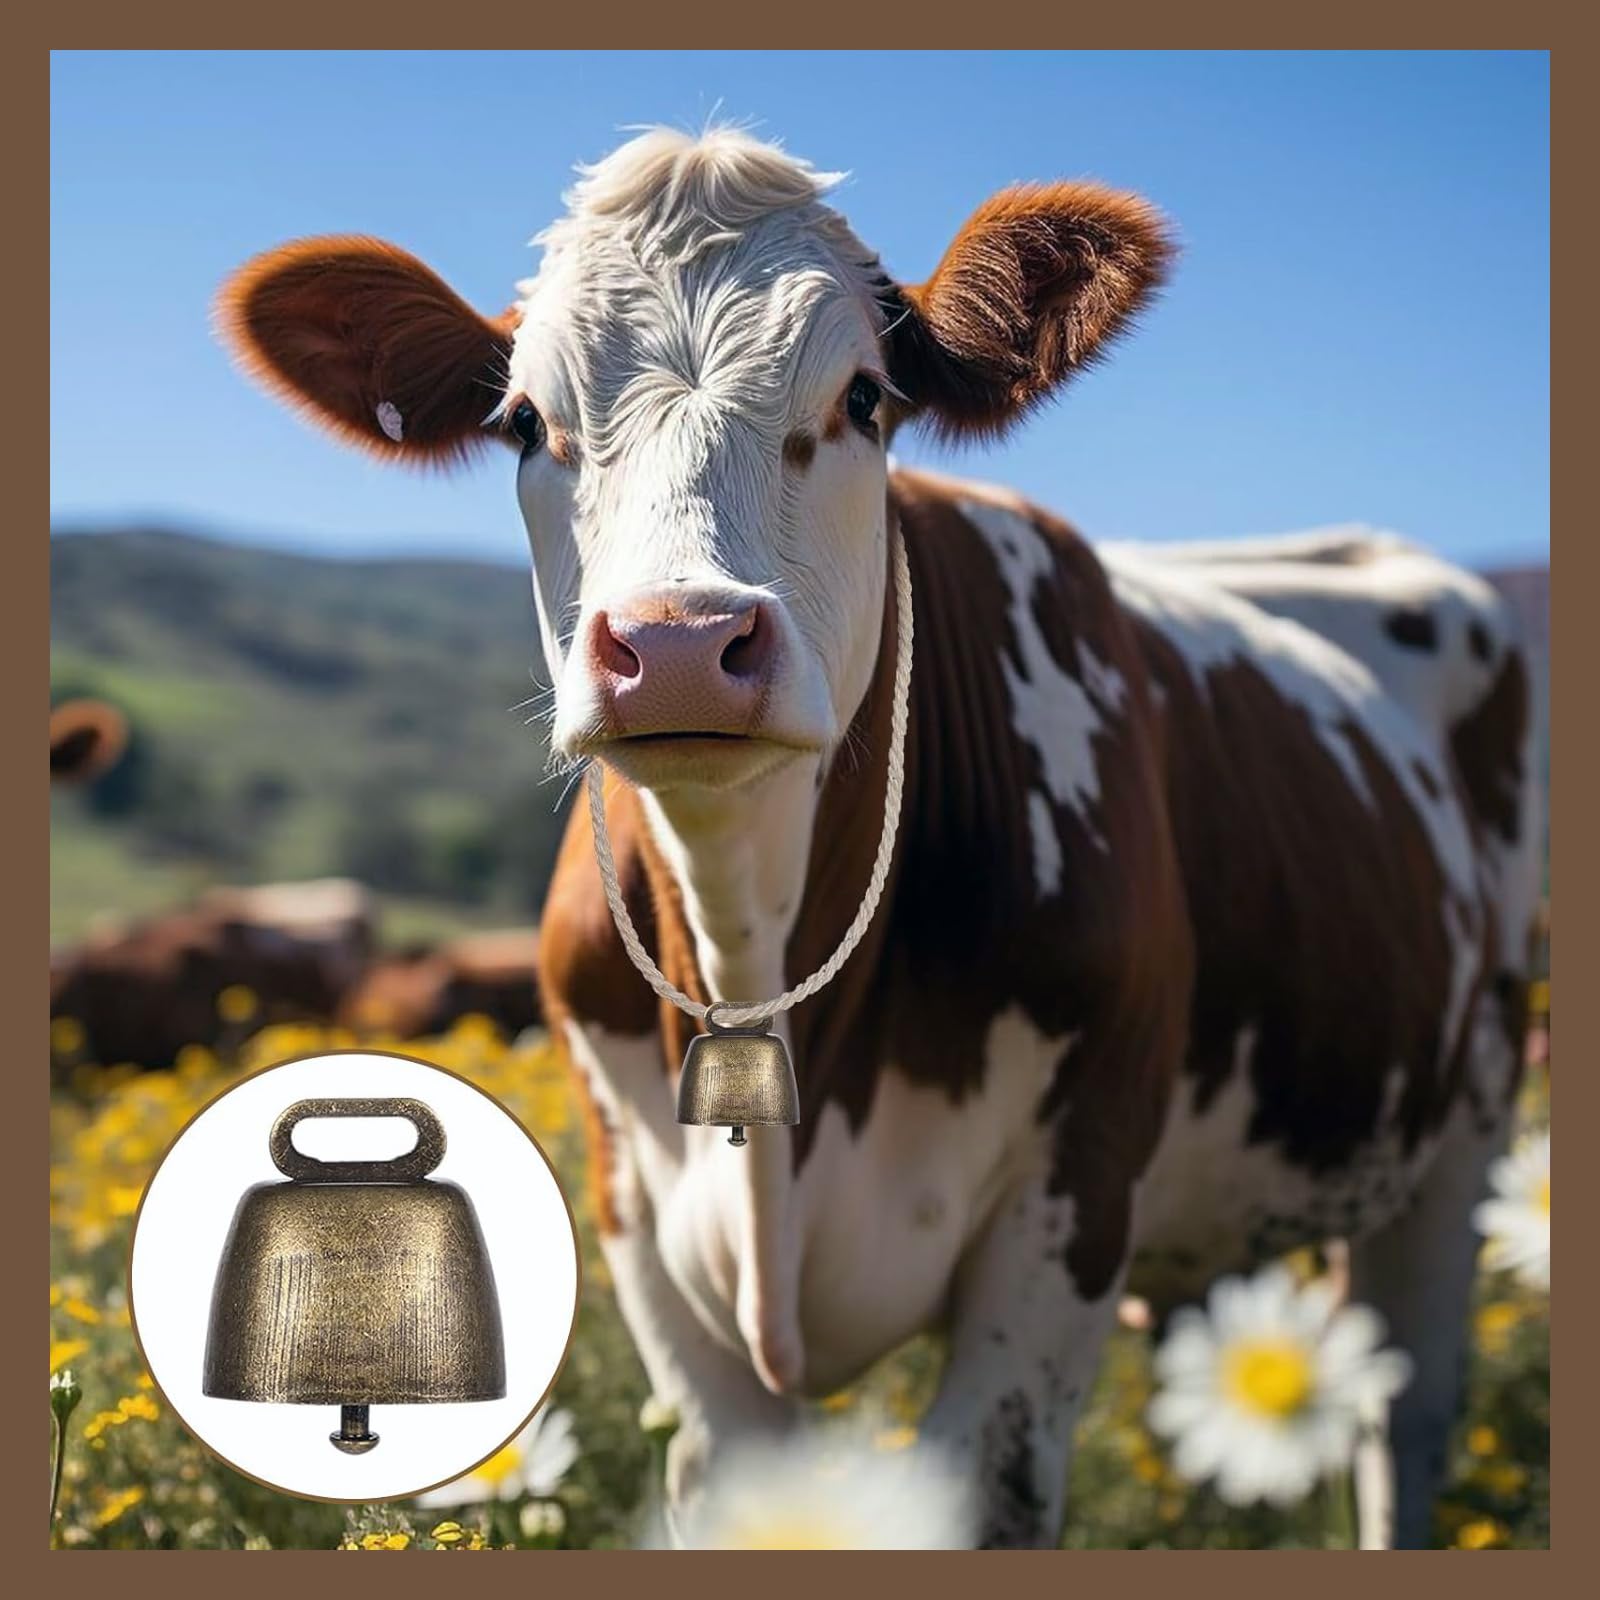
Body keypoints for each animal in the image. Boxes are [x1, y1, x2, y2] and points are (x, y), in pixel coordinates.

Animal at [218, 127, 1539, 1547]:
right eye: (523, 421)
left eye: (862, 399)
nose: (679, 643)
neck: (749, 940)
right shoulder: (645, 1234)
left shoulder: (1066, 1205)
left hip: (1463, 1129)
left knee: (1401, 1418)